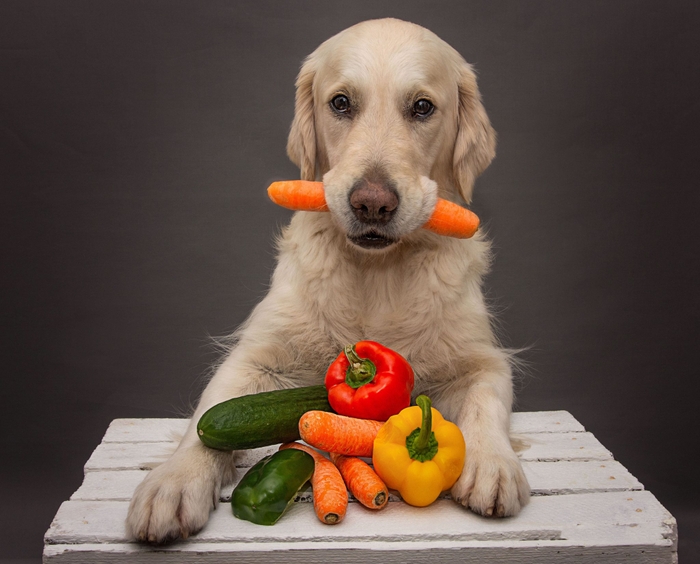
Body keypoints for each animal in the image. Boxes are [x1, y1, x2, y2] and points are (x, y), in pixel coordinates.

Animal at [126, 19, 532, 544]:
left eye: (423, 107)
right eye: (340, 103)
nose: (373, 204)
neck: (375, 275)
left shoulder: (482, 358)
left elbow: (488, 400)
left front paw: (492, 465)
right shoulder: (256, 356)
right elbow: (209, 413)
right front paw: (173, 481)